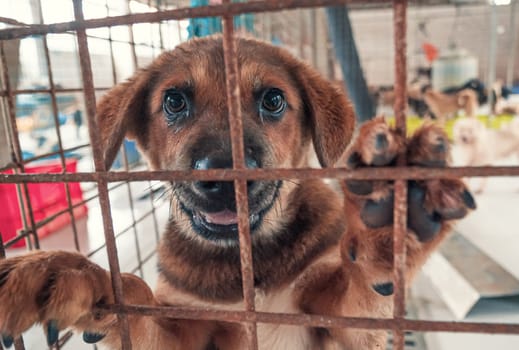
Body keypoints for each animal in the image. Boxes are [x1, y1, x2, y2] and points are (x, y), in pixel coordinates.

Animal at [0, 36, 476, 350]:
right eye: (174, 102)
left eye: (273, 100)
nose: (225, 177)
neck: (249, 263)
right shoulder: (188, 326)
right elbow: (138, 303)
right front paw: (75, 272)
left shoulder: (342, 325)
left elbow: (357, 294)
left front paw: (391, 220)